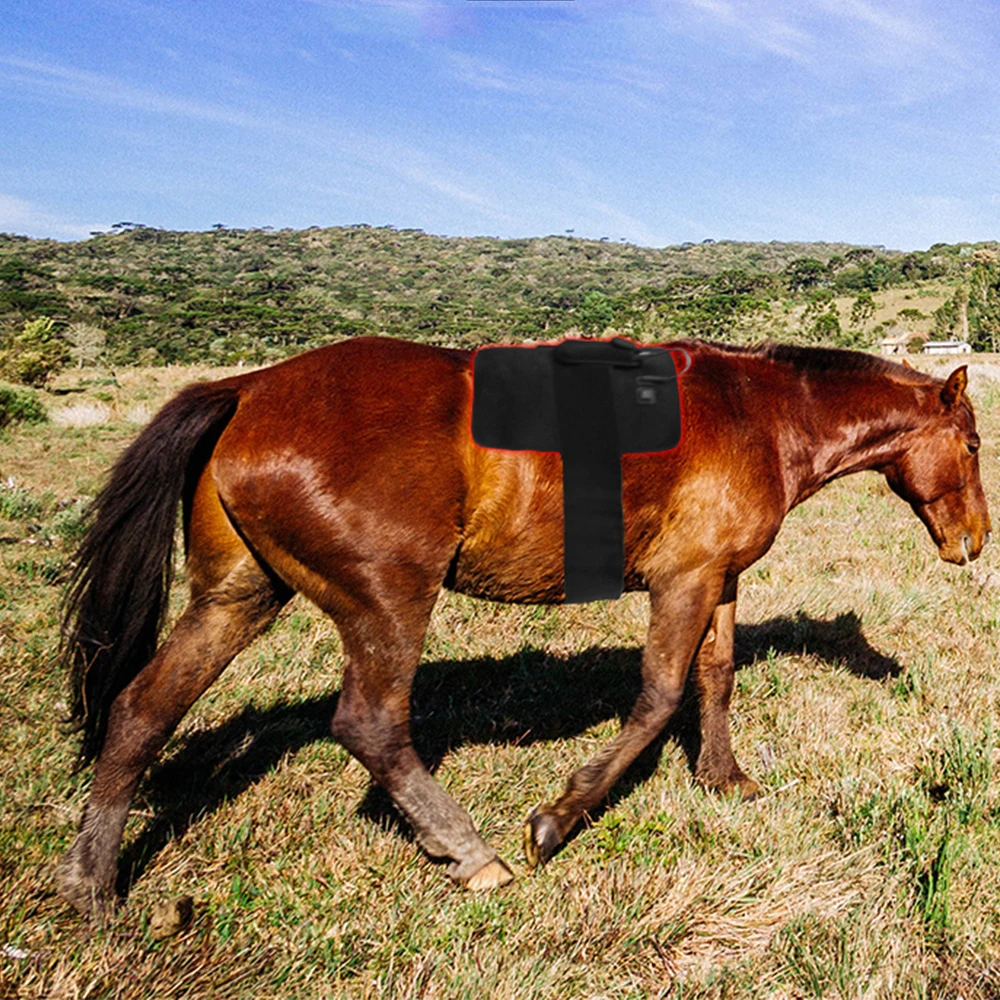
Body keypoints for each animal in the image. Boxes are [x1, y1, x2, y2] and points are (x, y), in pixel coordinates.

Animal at [56, 336, 990, 921]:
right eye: (976, 446)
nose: (975, 542)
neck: (757, 414)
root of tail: (248, 388)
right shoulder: (683, 581)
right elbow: (658, 697)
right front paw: (561, 816)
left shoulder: (718, 577)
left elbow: (715, 680)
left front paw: (724, 779)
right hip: (387, 601)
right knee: (371, 726)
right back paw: (470, 853)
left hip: (240, 597)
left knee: (142, 710)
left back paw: (92, 885)